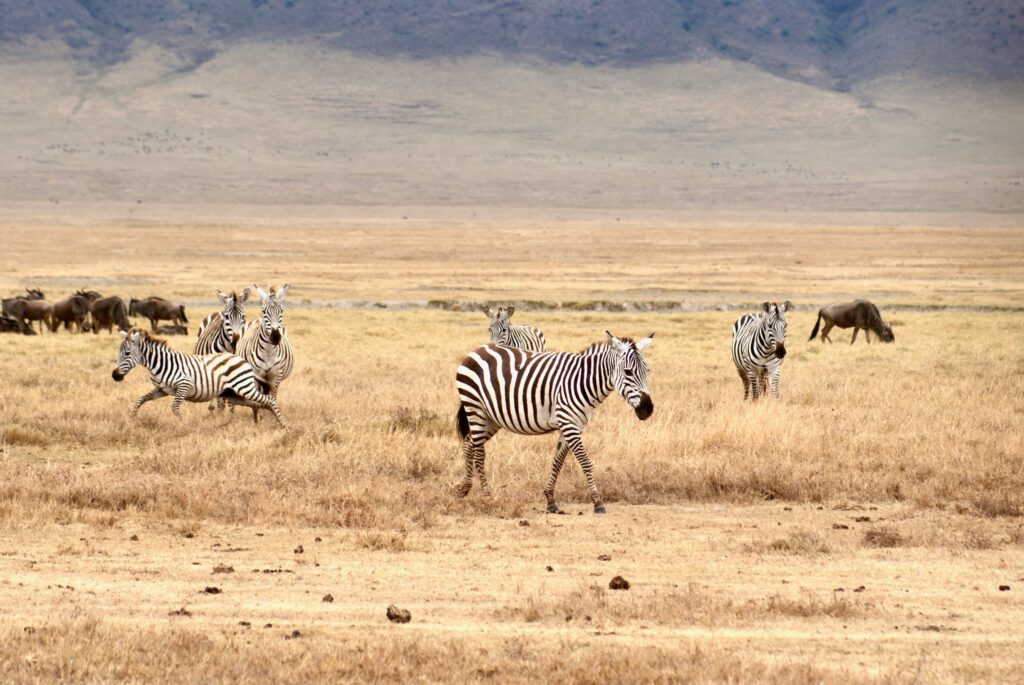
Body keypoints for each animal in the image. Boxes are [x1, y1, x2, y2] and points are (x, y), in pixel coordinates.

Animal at [111, 328, 286, 426]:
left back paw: (283, 425)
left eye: (127, 353)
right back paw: (258, 421)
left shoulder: (184, 385)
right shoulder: (161, 389)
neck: (160, 364)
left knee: (269, 400)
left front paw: (183, 424)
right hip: (233, 393)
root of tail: (241, 359)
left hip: (243, 387)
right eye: (118, 353)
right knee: (258, 403)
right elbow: (140, 400)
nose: (115, 376)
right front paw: (132, 418)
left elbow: (175, 408)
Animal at [236, 284, 294, 422]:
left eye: (282, 311)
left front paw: (273, 418)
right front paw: (259, 418)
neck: (268, 351)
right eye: (264, 312)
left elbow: (273, 397)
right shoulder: (256, 375)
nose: (275, 337)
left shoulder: (276, 377)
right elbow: (259, 397)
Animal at [454, 331, 654, 514]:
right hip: (476, 408)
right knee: (479, 453)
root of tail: (477, 350)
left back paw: (464, 488)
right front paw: (598, 502)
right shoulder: (568, 422)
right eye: (628, 372)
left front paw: (550, 500)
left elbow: (557, 461)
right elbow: (585, 462)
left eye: (647, 371)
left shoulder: (574, 425)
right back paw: (487, 495)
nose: (648, 409)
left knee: (469, 443)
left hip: (492, 417)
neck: (582, 381)